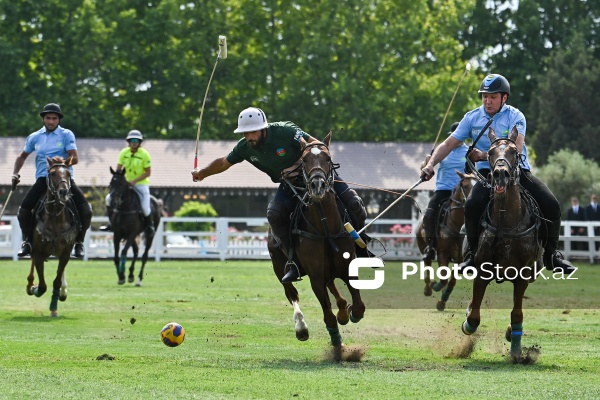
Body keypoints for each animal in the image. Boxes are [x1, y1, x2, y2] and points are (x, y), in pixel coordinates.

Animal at [26, 155, 79, 316]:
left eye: (67, 174)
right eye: (53, 173)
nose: (63, 192)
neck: (55, 216)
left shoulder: (66, 252)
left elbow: (56, 280)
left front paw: (54, 307)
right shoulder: (38, 251)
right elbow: (42, 286)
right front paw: (34, 288)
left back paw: (63, 291)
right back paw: (30, 284)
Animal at [268, 133, 366, 352]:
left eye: (328, 159)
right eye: (304, 160)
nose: (317, 185)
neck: (325, 229)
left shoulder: (347, 267)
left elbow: (358, 306)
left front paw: (348, 313)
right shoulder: (315, 278)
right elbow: (327, 315)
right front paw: (337, 344)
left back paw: (343, 311)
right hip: (279, 266)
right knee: (291, 293)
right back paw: (301, 327)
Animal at [418, 170, 474, 310]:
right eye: (466, 186)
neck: (456, 225)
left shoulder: (459, 259)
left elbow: (452, 281)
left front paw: (442, 301)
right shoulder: (442, 253)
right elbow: (443, 279)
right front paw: (434, 286)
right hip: (423, 245)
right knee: (427, 262)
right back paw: (428, 288)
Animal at [460, 126, 544, 360]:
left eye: (514, 152)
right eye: (490, 152)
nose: (500, 174)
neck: (508, 222)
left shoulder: (523, 275)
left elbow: (517, 314)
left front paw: (515, 349)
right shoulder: (482, 272)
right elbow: (474, 317)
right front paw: (467, 324)